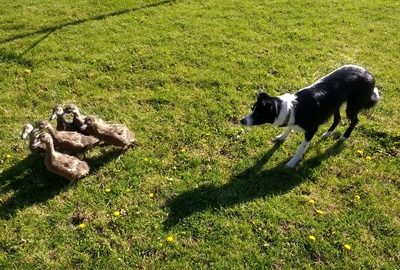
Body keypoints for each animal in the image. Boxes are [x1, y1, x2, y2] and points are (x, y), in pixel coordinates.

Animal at [239, 64, 380, 168]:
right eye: (252, 109)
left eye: (258, 113)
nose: (242, 121)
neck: (292, 109)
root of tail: (370, 74)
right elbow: (289, 128)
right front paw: (282, 136)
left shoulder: (311, 130)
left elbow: (300, 148)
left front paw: (292, 163)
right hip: (334, 105)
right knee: (338, 118)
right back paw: (328, 133)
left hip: (351, 107)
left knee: (355, 120)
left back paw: (344, 136)